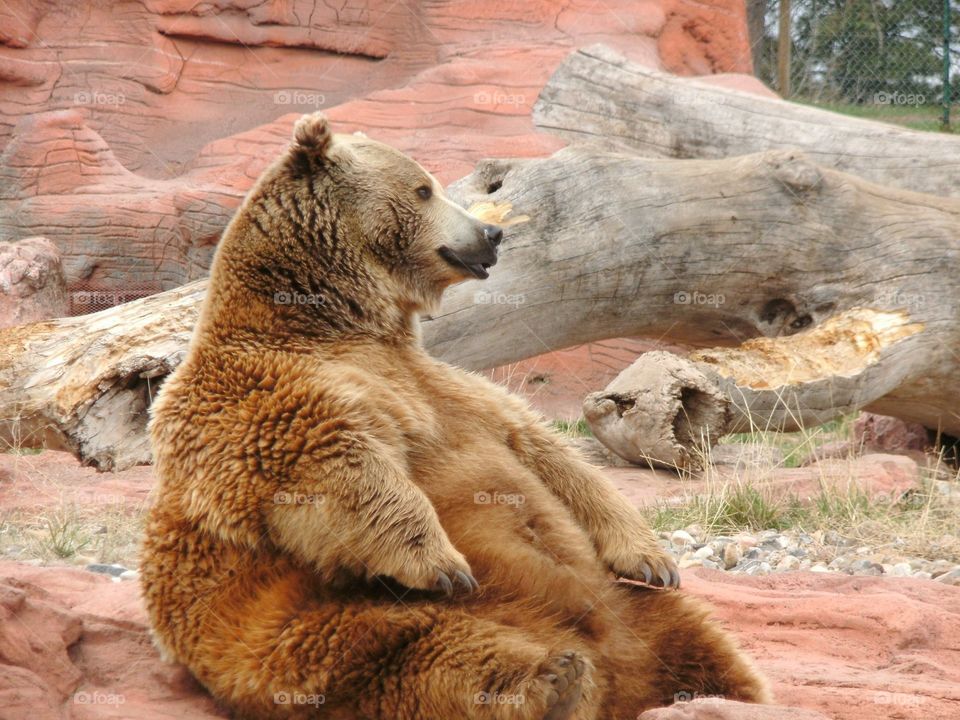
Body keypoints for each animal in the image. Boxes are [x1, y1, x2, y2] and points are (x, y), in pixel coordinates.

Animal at [140, 112, 770, 720]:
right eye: (424, 188)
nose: (491, 233)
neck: (331, 321)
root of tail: (622, 672)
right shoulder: (258, 392)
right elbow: (327, 456)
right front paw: (437, 559)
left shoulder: (446, 385)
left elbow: (549, 454)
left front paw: (652, 557)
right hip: (322, 624)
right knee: (427, 656)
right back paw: (552, 682)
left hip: (635, 609)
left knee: (700, 639)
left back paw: (718, 691)